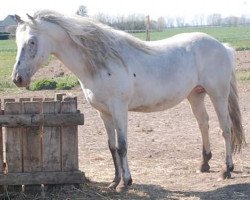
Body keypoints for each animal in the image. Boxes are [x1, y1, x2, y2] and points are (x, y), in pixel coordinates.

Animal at [12, 10, 245, 192]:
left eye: (32, 42)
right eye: (17, 42)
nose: (17, 78)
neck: (102, 63)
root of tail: (222, 47)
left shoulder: (119, 109)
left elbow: (123, 145)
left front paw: (126, 182)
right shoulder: (104, 113)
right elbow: (112, 146)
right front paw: (114, 181)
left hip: (218, 94)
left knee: (225, 129)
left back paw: (226, 170)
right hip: (195, 95)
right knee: (203, 124)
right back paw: (204, 164)